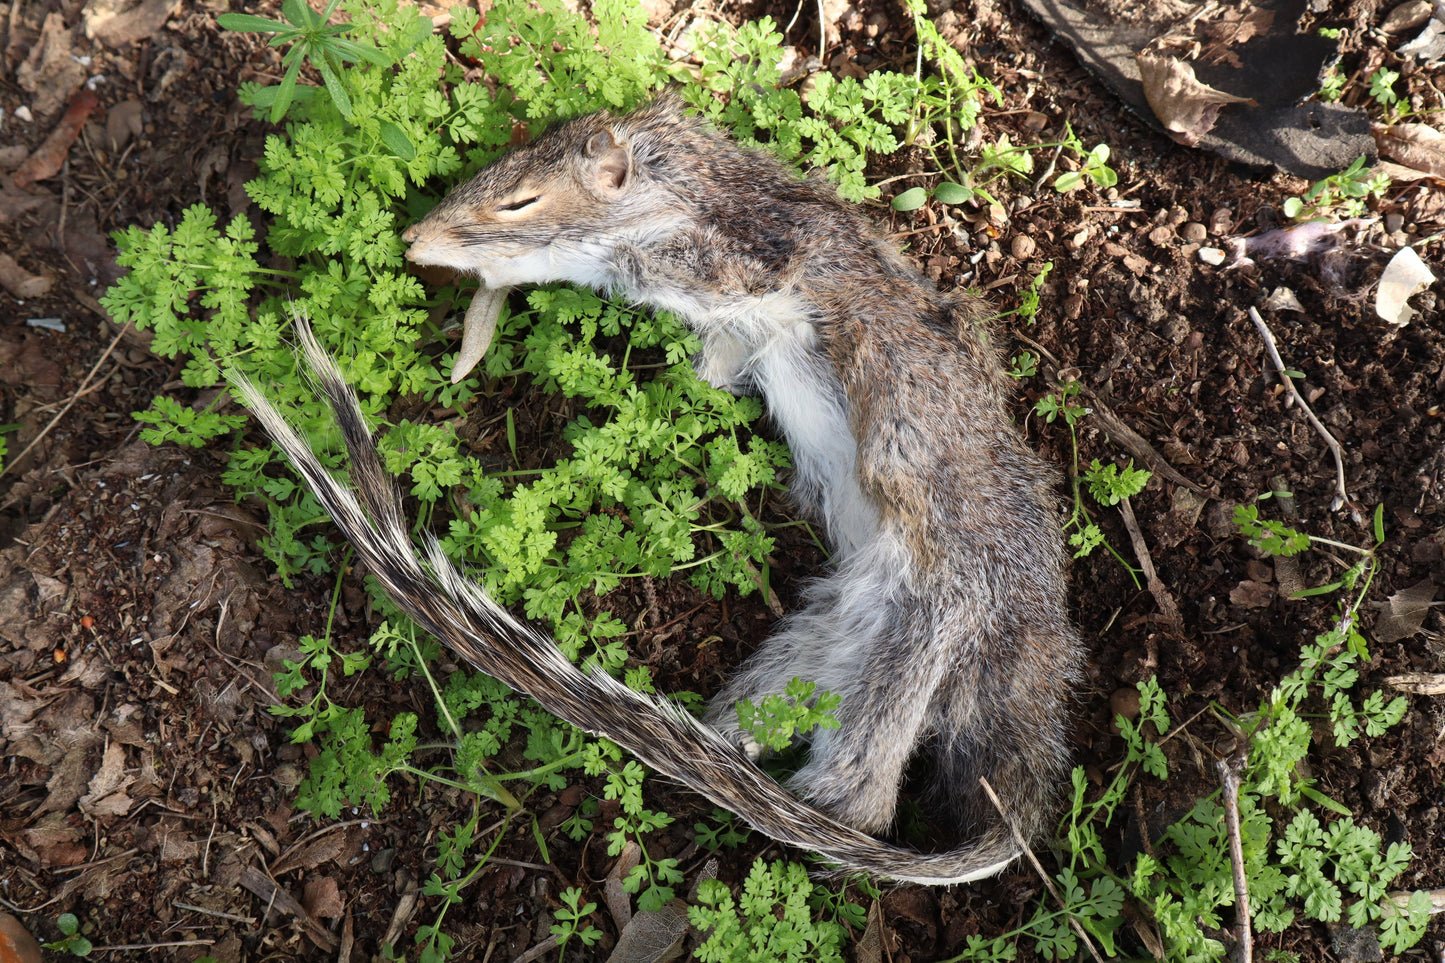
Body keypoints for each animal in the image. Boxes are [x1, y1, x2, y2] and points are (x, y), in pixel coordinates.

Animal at [234, 93, 1082, 884]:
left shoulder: (748, 258)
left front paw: (499, 280)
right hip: (828, 640)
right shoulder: (733, 325)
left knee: (864, 796)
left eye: (519, 202)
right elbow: (715, 364)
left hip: (929, 628)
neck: (687, 180)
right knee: (774, 710)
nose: (415, 240)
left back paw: (791, 814)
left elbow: (651, 267)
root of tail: (1030, 668)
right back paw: (719, 744)